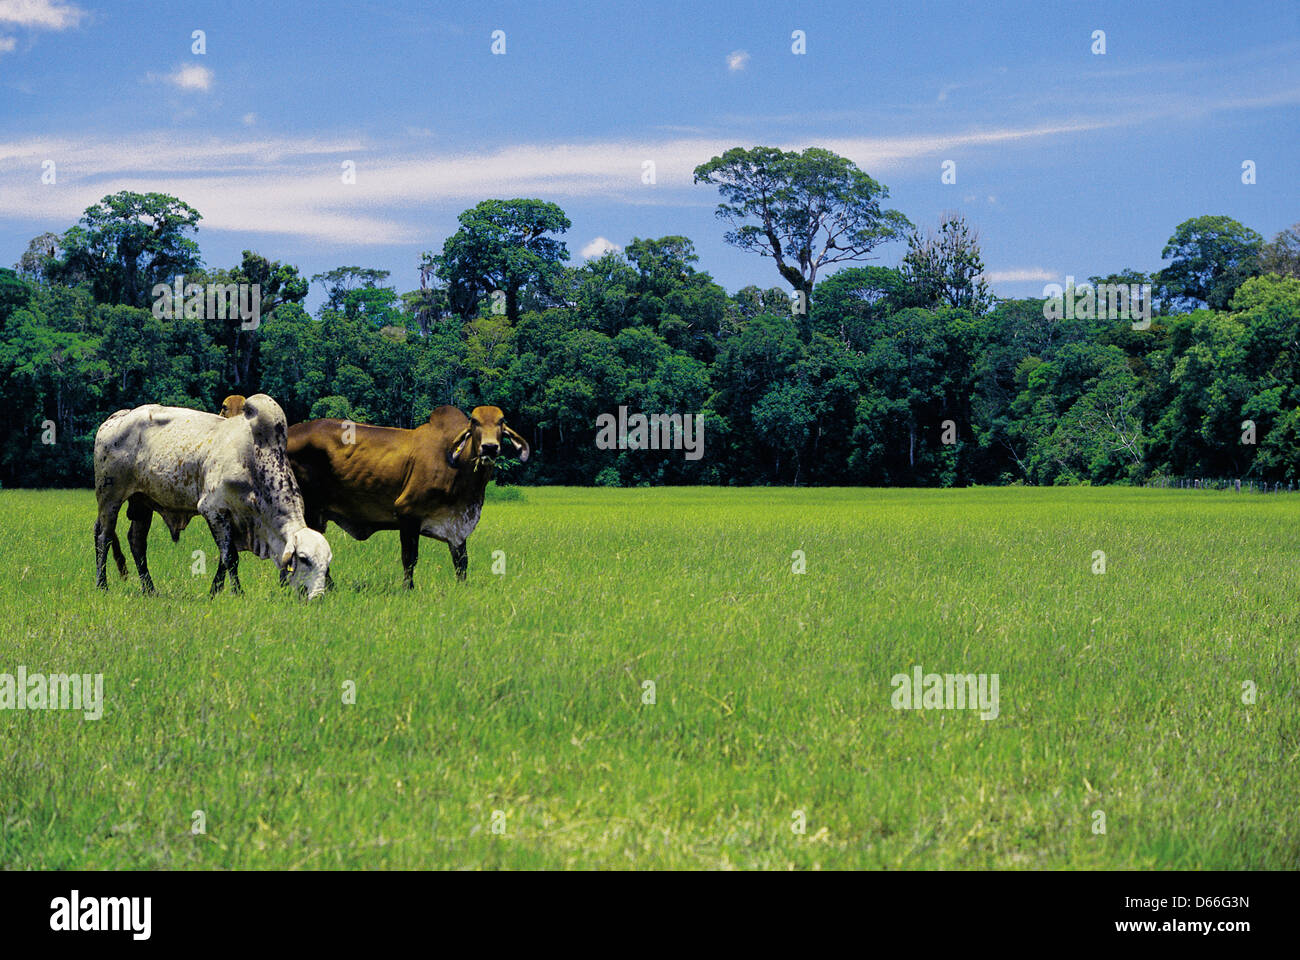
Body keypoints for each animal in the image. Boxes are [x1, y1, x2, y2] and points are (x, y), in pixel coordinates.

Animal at [93, 394, 333, 599]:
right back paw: (102, 585)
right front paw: (237, 593)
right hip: (110, 497)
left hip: (142, 502)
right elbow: (230, 558)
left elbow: (224, 559)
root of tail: (118, 417)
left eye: (327, 563)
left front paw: (215, 591)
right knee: (104, 537)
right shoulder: (214, 509)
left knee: (137, 542)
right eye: (304, 559)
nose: (318, 597)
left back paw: (150, 589)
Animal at [286, 405, 529, 588]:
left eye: (501, 421)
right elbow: (410, 559)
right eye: (475, 422)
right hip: (306, 508)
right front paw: (408, 589)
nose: (489, 447)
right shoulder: (407, 514)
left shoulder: (458, 527)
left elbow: (461, 562)